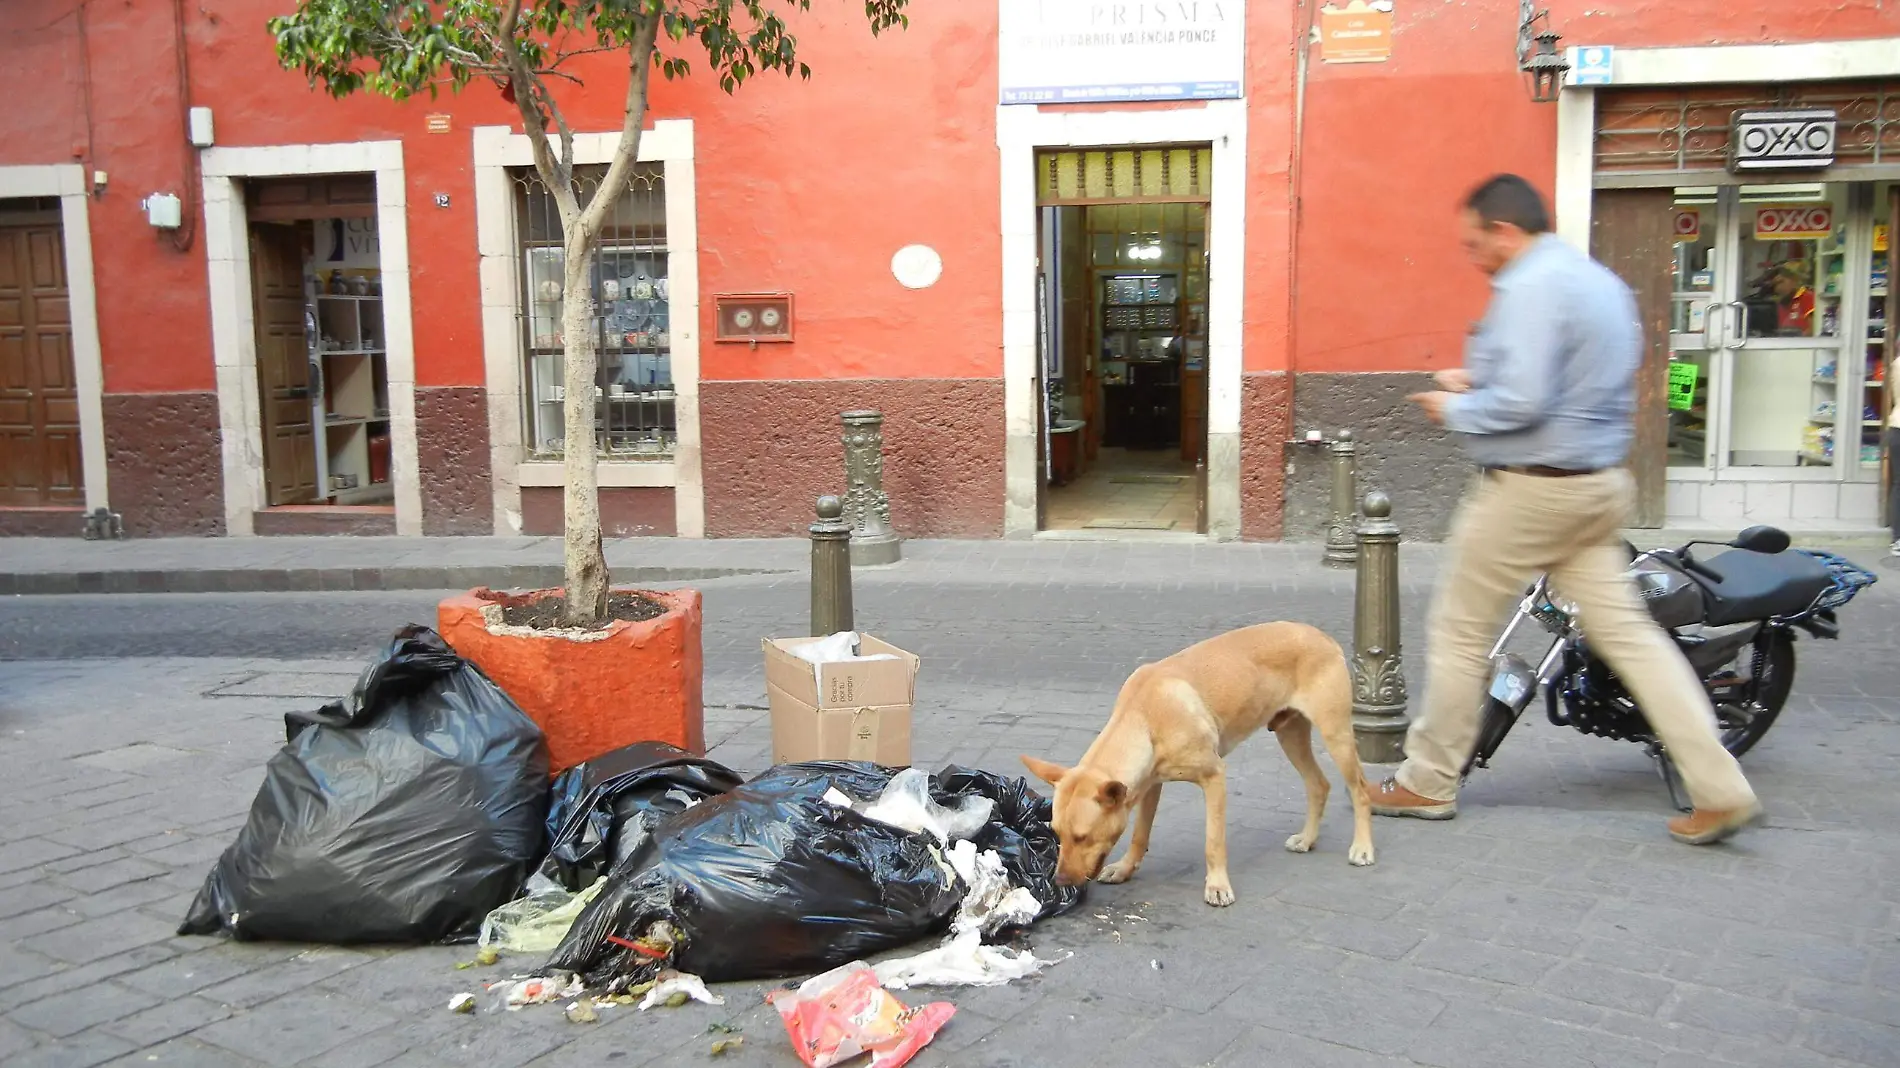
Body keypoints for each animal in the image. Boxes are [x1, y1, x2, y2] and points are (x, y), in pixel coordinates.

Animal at [1018, 619, 1375, 900]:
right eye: (1057, 833)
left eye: (1082, 837)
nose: (1060, 881)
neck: (1144, 715)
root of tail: (1323, 636)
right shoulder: (1150, 786)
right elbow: (1139, 834)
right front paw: (1125, 868)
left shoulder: (1214, 777)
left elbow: (1213, 842)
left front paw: (1217, 886)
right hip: (1291, 734)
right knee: (1319, 785)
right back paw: (1309, 838)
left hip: (1336, 734)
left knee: (1359, 789)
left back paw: (1363, 847)